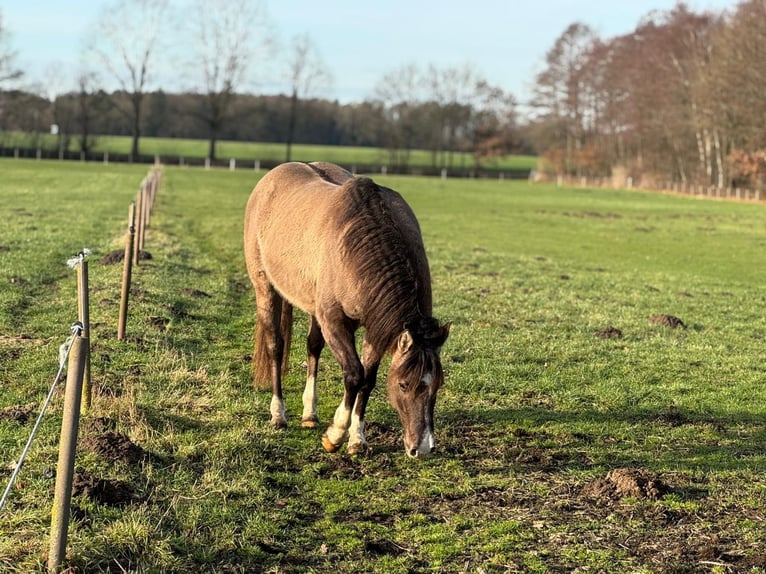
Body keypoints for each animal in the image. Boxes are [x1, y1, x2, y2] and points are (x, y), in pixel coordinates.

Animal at [244, 161, 450, 457]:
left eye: (437, 385)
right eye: (403, 384)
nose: (421, 448)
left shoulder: (375, 327)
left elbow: (368, 378)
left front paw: (357, 439)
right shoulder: (335, 322)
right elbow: (354, 374)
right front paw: (335, 435)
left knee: (313, 346)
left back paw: (309, 414)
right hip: (265, 288)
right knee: (275, 346)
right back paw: (278, 415)